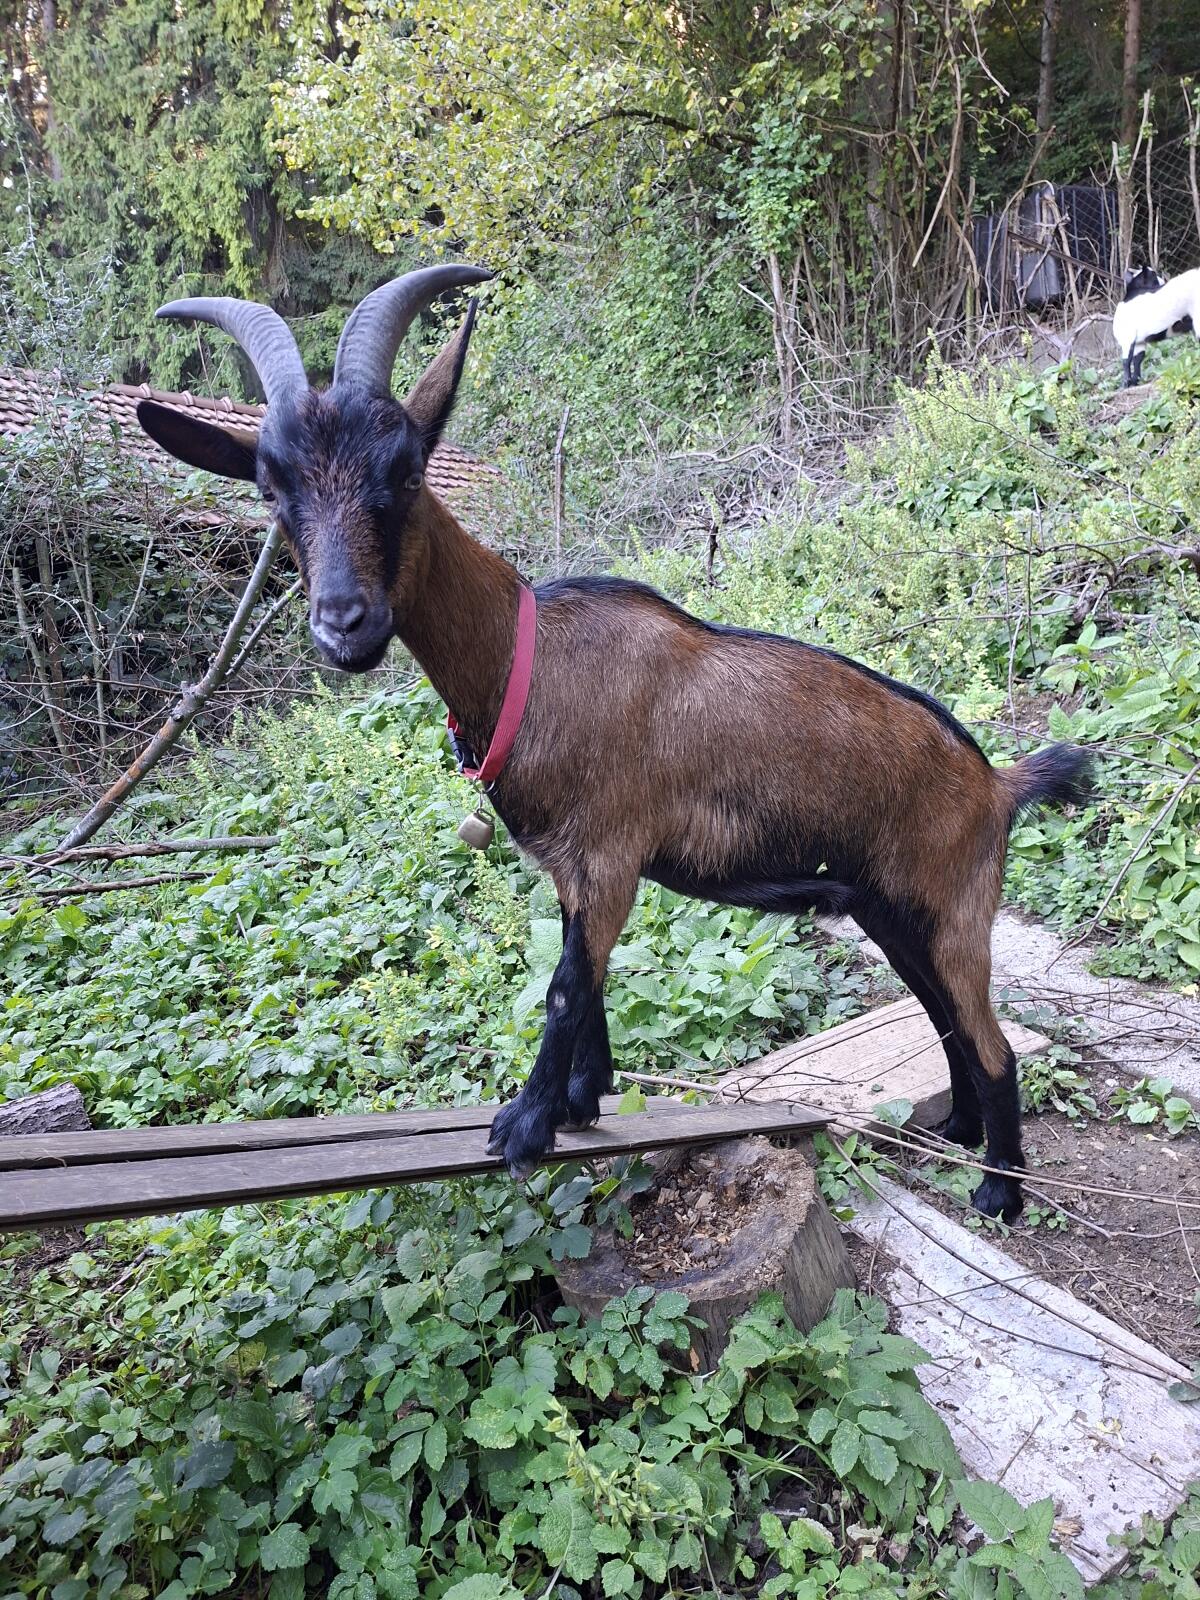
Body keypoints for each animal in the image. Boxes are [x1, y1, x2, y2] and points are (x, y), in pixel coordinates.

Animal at [137, 265, 1093, 1223]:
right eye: (271, 490)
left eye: (403, 472)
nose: (344, 624)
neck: (527, 664)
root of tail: (997, 785)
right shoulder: (575, 866)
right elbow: (584, 976)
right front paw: (579, 1100)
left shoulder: (611, 851)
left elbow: (565, 985)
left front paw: (523, 1127)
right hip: (890, 907)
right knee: (943, 1016)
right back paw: (959, 1130)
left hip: (956, 905)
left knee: (991, 1038)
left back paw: (1000, 1189)